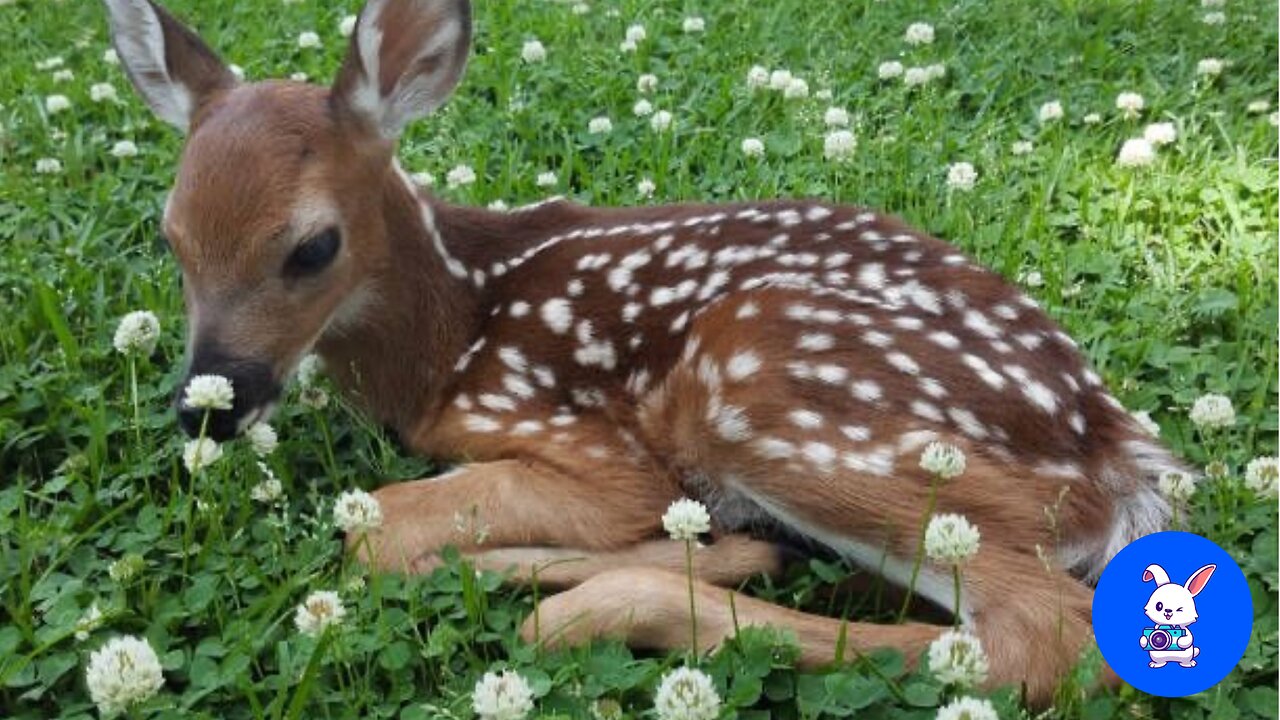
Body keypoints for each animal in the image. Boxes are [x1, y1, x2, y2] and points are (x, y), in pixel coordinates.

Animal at [104, 0, 1182, 702]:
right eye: (169, 237)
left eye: (312, 247)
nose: (207, 403)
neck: (452, 331)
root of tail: (1116, 450)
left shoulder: (581, 438)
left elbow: (381, 529)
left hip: (769, 390)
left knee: (1040, 638)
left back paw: (625, 594)